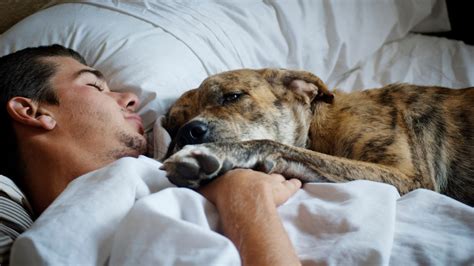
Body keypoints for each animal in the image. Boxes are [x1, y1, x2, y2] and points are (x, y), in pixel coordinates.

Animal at [160, 68, 474, 206]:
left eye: (232, 96)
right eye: (173, 128)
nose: (188, 131)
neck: (320, 124)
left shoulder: (408, 175)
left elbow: (277, 145)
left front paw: (218, 153)